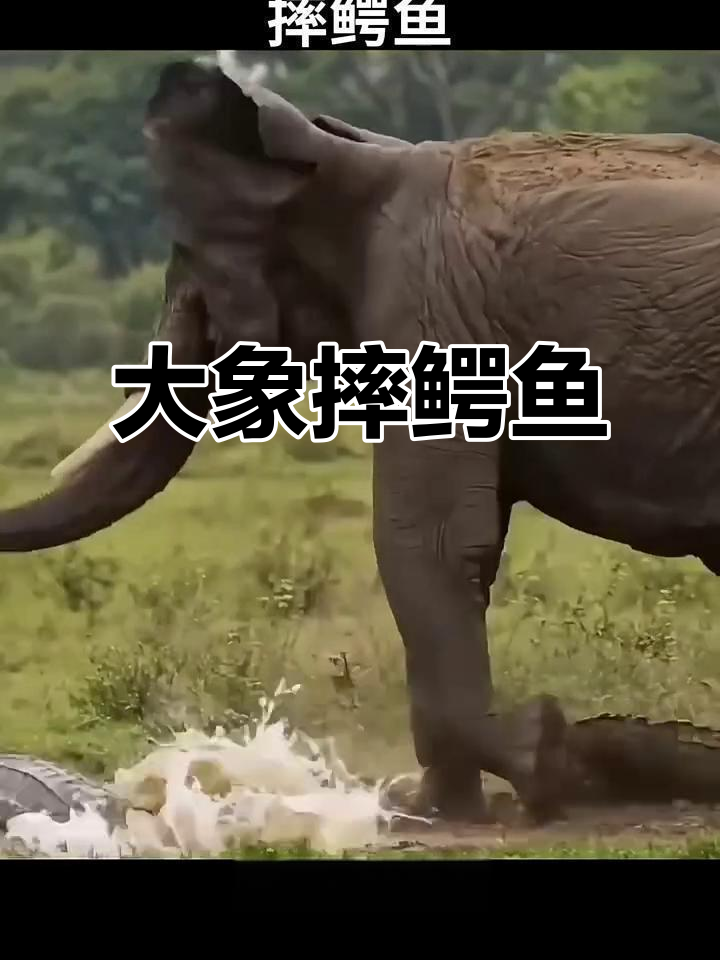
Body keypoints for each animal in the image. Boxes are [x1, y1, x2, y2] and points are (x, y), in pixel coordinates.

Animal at [3, 57, 720, 823]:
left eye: (201, 264)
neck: (354, 157)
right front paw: (437, 805)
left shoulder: (427, 309)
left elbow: (423, 542)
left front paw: (546, 764)